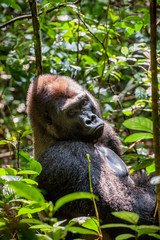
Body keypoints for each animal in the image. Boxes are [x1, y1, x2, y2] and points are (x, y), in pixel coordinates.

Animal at [26, 74, 156, 239]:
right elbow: (126, 210)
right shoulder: (66, 159)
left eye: (83, 102)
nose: (90, 119)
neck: (48, 134)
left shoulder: (106, 132)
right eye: (71, 112)